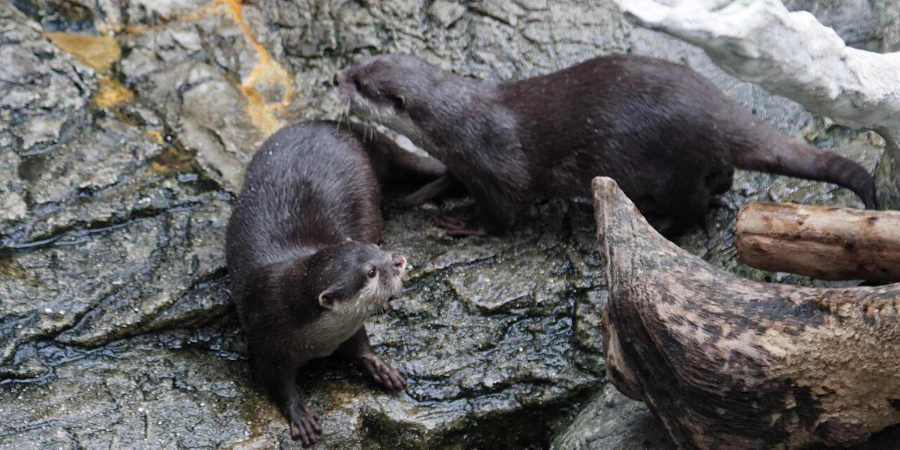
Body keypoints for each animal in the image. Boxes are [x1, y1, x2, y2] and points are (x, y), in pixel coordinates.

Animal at [225, 120, 443, 445]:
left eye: (375, 248)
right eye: (370, 272)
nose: (398, 259)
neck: (313, 339)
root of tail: (339, 125)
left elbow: (360, 342)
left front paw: (378, 365)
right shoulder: (265, 339)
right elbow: (275, 382)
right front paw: (299, 415)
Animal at [334, 54, 876, 237]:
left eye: (362, 84)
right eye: (362, 63)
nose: (336, 76)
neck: (460, 122)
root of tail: (719, 110)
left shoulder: (496, 165)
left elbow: (502, 212)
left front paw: (463, 223)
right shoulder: (461, 160)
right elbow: (447, 177)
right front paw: (422, 194)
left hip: (670, 165)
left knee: (695, 207)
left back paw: (659, 221)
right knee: (723, 179)